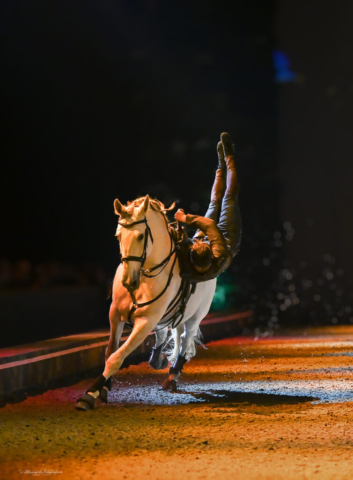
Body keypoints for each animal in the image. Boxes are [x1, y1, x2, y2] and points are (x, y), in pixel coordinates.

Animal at [75, 193, 216, 410]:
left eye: (141, 236)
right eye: (118, 236)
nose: (128, 282)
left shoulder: (145, 322)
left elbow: (117, 357)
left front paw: (89, 394)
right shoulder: (115, 315)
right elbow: (110, 351)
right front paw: (103, 388)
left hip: (195, 316)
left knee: (185, 340)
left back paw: (172, 376)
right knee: (163, 336)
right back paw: (158, 360)